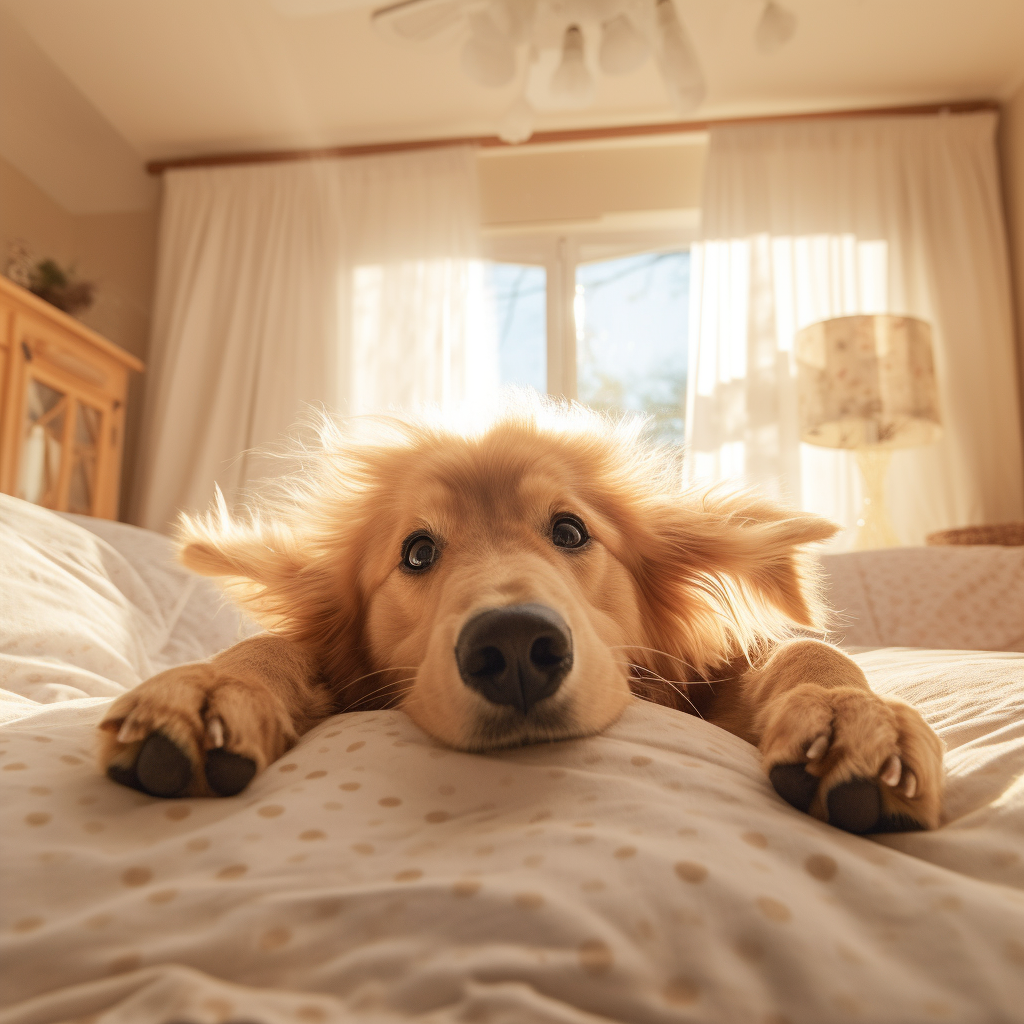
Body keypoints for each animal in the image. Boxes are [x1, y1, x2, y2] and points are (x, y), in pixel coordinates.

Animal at [97, 395, 942, 835]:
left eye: (569, 531)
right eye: (416, 552)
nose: (511, 648)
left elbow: (804, 653)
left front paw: (856, 717)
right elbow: (272, 648)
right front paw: (208, 688)